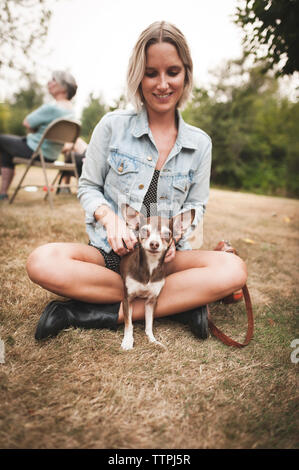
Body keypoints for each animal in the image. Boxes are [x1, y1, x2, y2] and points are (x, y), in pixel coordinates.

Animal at [120, 204, 196, 350]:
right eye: (144, 231)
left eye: (167, 234)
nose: (154, 243)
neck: (150, 267)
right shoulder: (128, 299)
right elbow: (129, 323)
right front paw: (127, 340)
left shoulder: (152, 301)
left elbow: (149, 324)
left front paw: (152, 340)